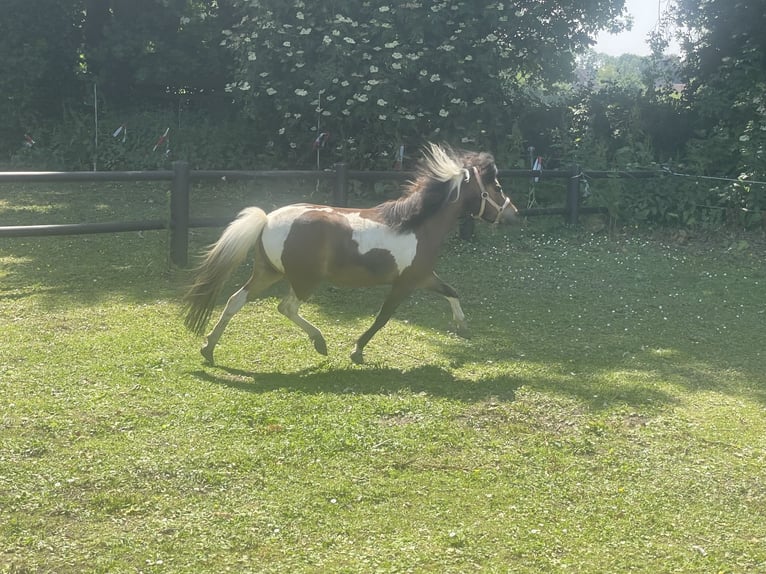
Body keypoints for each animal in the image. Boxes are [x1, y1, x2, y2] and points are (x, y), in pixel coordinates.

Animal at [183, 143, 518, 365]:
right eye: (497, 187)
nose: (513, 214)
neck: (416, 225)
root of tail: (266, 220)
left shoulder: (424, 276)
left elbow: (452, 292)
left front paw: (463, 328)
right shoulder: (408, 282)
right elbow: (383, 317)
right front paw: (357, 350)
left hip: (269, 272)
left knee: (235, 300)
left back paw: (208, 349)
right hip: (304, 280)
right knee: (286, 307)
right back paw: (319, 342)